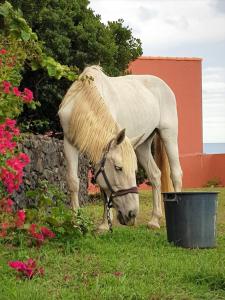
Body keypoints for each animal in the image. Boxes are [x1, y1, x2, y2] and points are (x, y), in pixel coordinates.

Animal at [58, 65, 183, 230]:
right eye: (118, 168)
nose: (132, 214)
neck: (83, 101)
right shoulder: (69, 143)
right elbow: (73, 182)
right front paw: (76, 223)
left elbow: (104, 189)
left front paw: (105, 225)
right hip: (142, 145)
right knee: (155, 175)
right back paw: (154, 220)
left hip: (169, 135)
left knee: (176, 174)